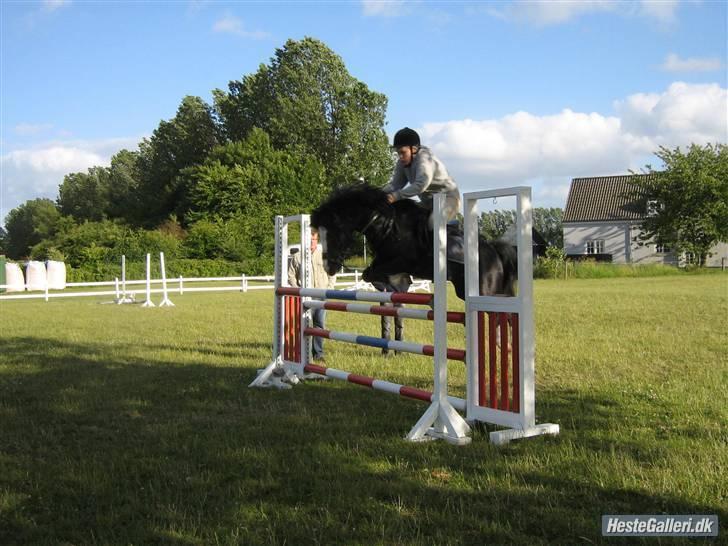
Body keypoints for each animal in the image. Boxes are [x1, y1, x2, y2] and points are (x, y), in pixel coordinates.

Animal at [310, 185, 520, 300]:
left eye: (334, 233)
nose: (328, 266)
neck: (384, 223)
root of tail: (493, 250)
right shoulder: (383, 260)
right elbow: (368, 274)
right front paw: (396, 285)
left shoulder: (403, 261)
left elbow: (373, 273)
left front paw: (398, 284)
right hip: (464, 289)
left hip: (485, 289)